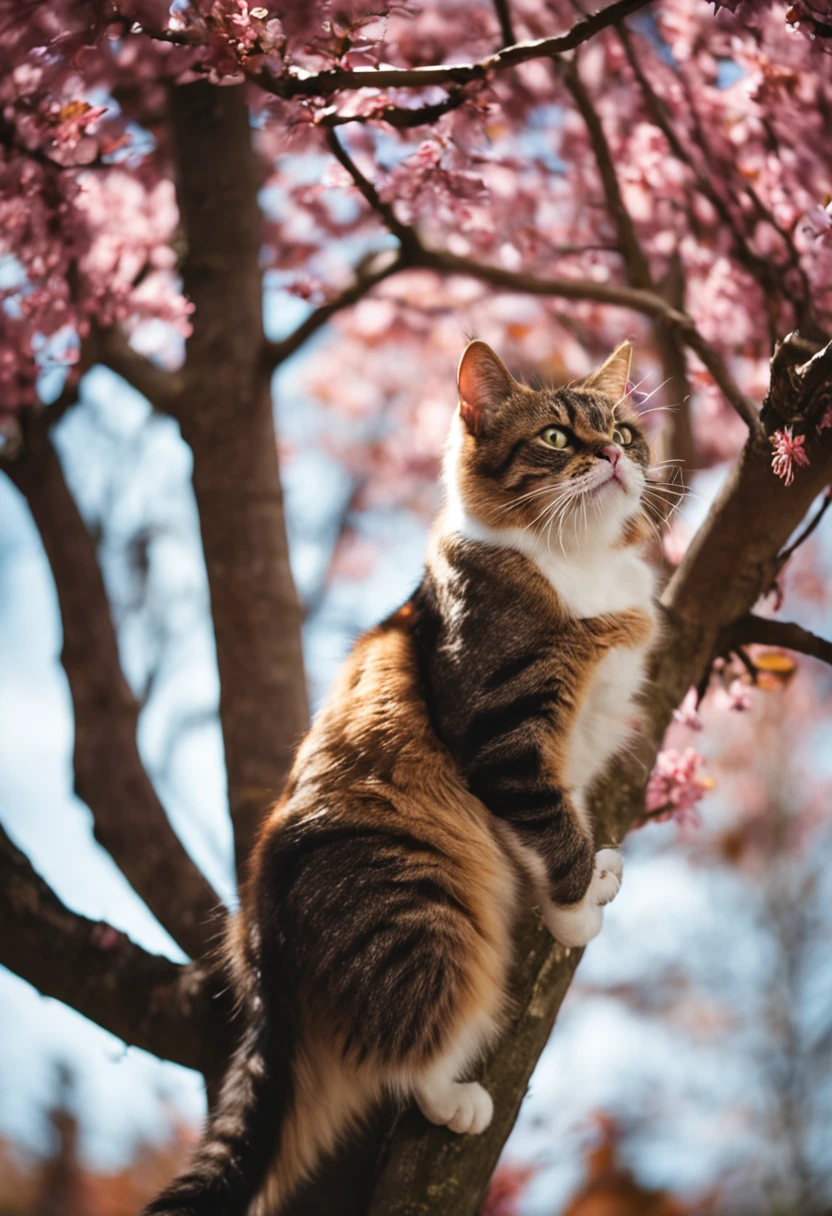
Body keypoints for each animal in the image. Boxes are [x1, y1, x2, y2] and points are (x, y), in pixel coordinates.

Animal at [142, 338, 656, 1211]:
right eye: (557, 438)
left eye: (622, 429)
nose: (615, 455)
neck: (577, 566)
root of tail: (260, 937)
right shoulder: (504, 735)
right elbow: (552, 831)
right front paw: (578, 908)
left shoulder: (576, 749)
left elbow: (571, 815)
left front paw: (592, 879)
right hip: (427, 910)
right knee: (408, 1055)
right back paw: (455, 1097)